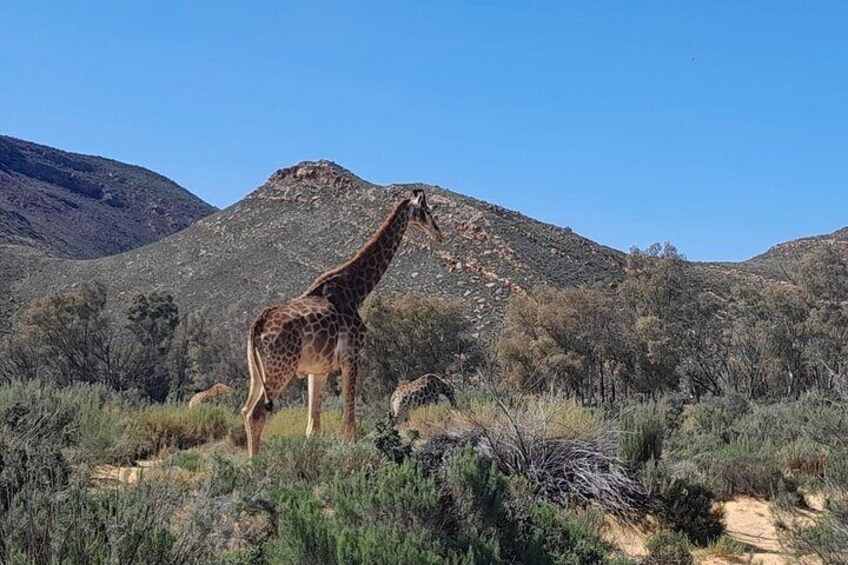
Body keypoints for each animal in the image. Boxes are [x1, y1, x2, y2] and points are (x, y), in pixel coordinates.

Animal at [242, 189, 444, 454]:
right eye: (427, 211)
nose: (439, 234)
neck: (356, 290)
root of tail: (257, 324)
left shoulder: (317, 369)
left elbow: (313, 427)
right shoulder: (352, 356)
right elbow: (349, 420)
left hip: (257, 371)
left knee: (245, 410)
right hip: (280, 367)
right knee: (256, 413)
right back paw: (255, 463)